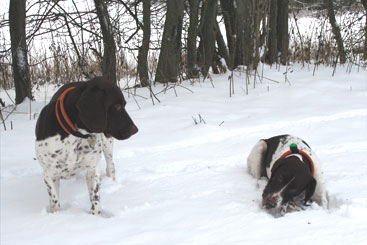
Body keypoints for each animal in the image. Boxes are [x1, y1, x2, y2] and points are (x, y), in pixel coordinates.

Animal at [35, 76, 139, 214]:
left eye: (124, 105)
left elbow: (95, 199)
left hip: (107, 145)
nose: (135, 130)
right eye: (117, 106)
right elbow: (55, 202)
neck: (74, 134)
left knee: (111, 166)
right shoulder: (49, 174)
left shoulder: (92, 169)